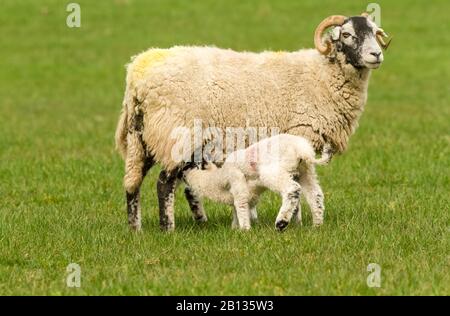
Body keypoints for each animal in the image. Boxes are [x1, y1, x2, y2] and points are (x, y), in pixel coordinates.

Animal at [181, 133, 332, 230]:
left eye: (190, 163)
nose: (181, 174)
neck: (218, 177)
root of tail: (301, 149)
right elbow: (238, 207)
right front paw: (235, 228)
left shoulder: (238, 182)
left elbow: (240, 204)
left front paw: (244, 230)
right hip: (306, 171)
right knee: (315, 194)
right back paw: (317, 225)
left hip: (273, 172)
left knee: (292, 189)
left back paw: (281, 223)